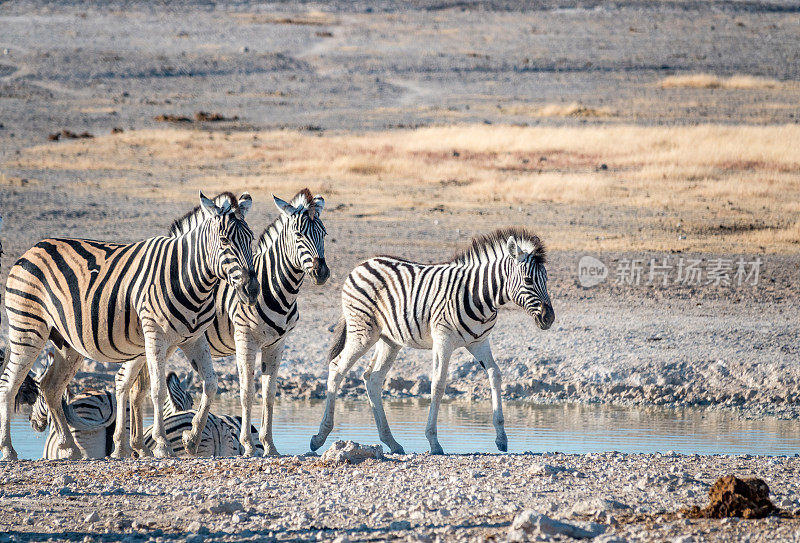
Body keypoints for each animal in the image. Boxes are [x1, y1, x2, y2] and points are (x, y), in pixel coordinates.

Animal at [0, 193, 256, 462]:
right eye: (224, 240)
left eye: (251, 239)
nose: (252, 290)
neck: (188, 279)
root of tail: (32, 249)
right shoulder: (155, 336)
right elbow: (156, 390)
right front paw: (162, 445)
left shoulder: (194, 339)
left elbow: (210, 384)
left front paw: (191, 439)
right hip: (27, 328)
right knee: (9, 384)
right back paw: (8, 449)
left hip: (66, 344)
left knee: (51, 387)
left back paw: (70, 448)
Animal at [310, 227, 552, 456]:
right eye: (528, 280)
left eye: (546, 280)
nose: (549, 318)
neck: (479, 296)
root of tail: (361, 264)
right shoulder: (443, 340)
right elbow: (438, 384)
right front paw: (434, 442)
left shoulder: (479, 342)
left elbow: (495, 374)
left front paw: (501, 437)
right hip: (363, 332)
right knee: (337, 368)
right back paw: (320, 437)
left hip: (389, 340)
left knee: (373, 379)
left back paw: (392, 442)